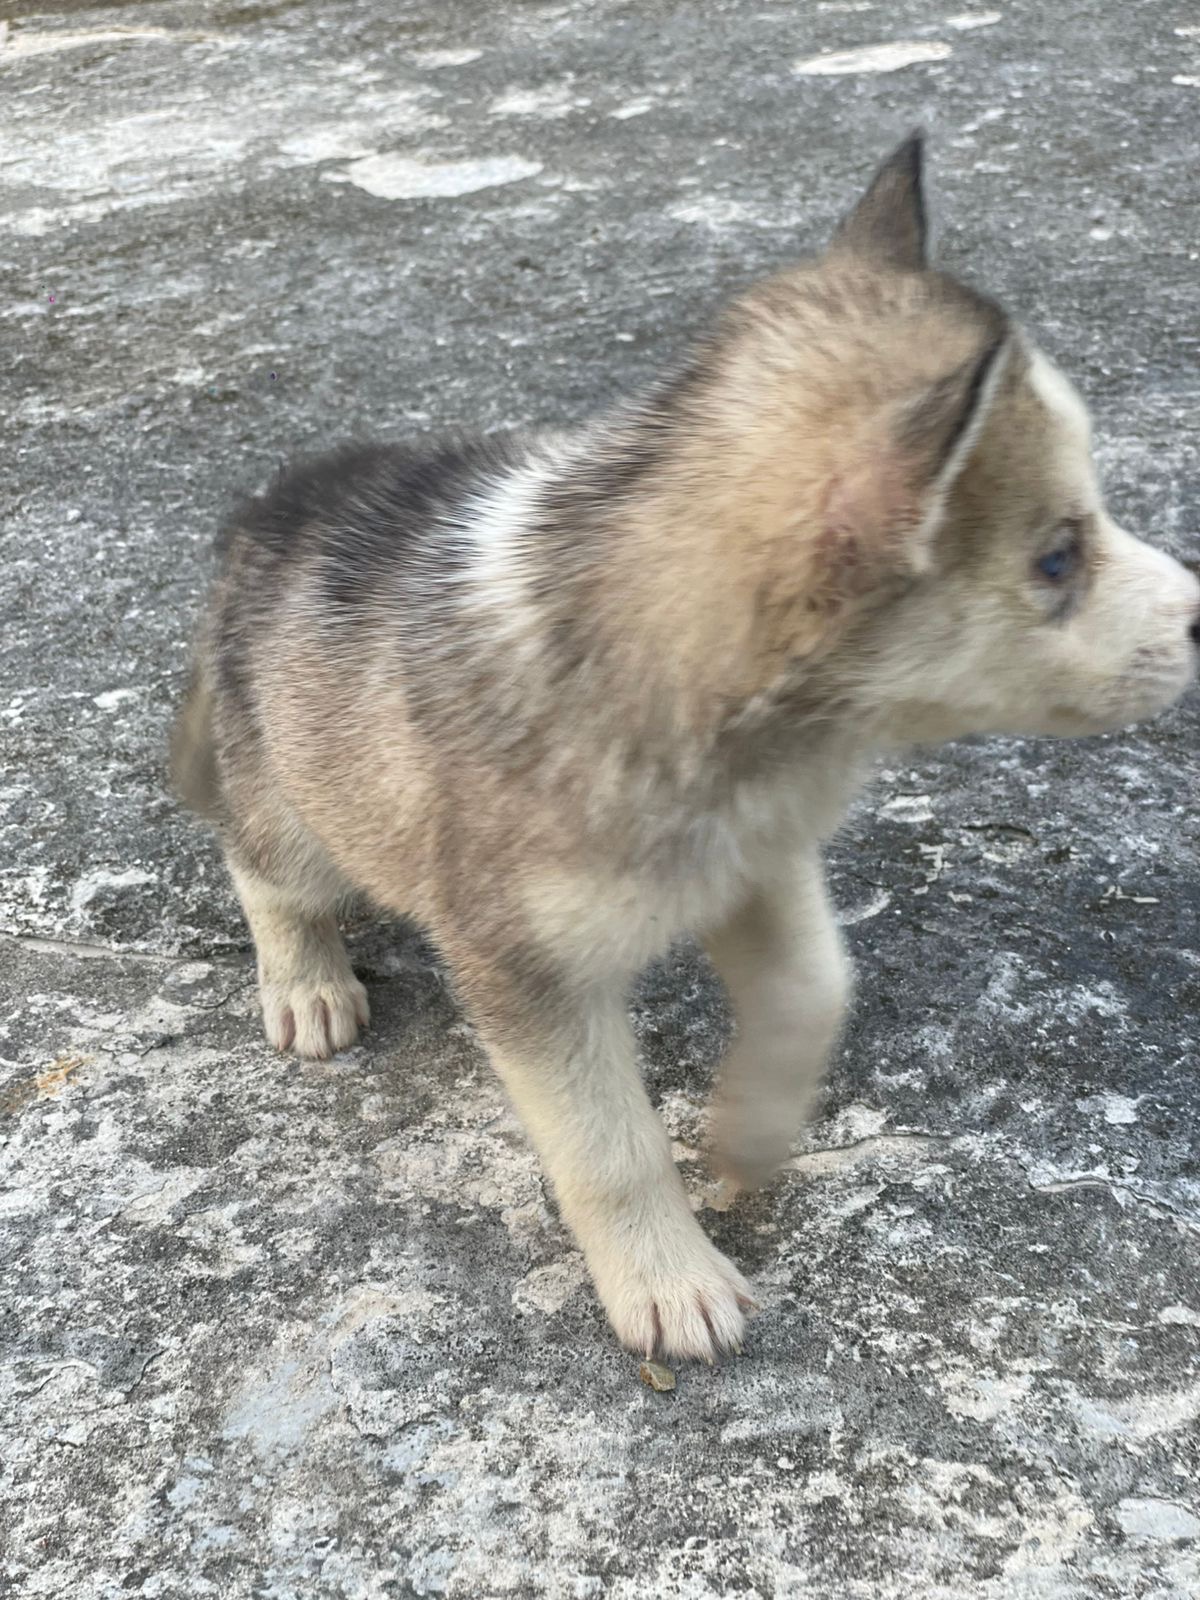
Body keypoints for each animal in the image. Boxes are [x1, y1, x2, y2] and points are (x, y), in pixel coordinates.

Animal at [171, 137, 1200, 1363]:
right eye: (1056, 558)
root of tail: (262, 510)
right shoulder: (526, 968)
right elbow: (608, 1146)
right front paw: (667, 1280)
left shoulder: (755, 858)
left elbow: (817, 987)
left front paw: (747, 1136)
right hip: (298, 793)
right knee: (265, 866)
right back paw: (307, 981)